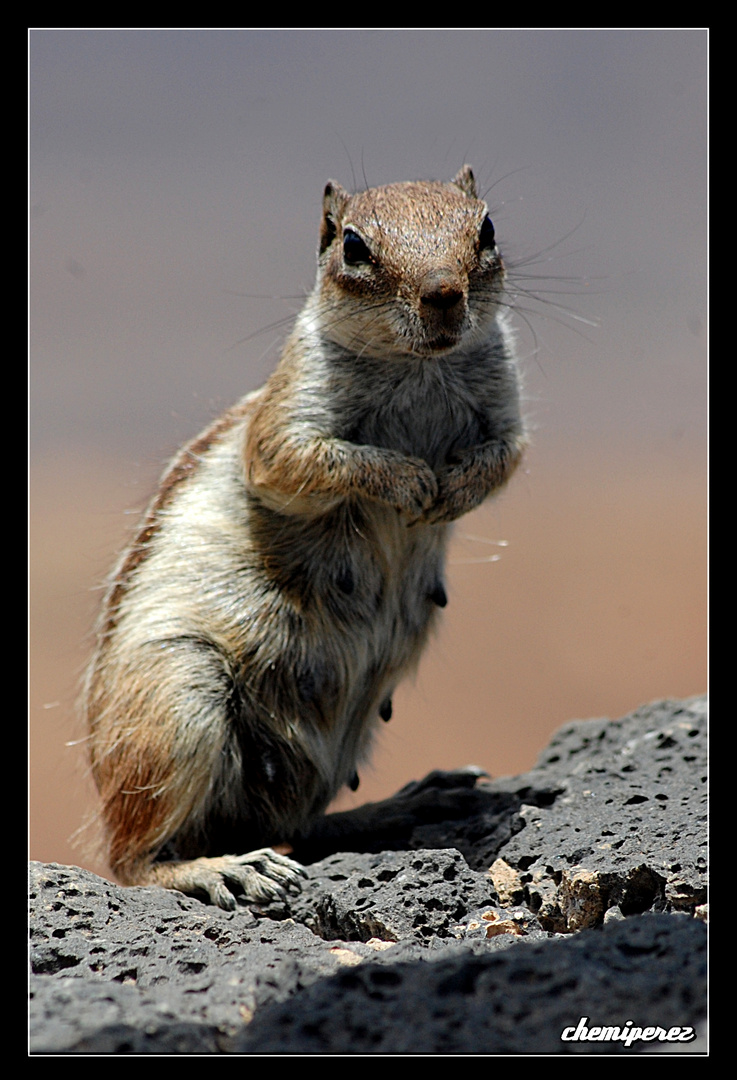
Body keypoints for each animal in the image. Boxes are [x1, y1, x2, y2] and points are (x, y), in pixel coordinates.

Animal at [83, 166, 525, 911]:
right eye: (353, 246)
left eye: (487, 229)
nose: (443, 292)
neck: (419, 366)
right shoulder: (287, 421)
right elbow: (302, 461)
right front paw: (409, 479)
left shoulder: (506, 404)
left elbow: (506, 459)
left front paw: (453, 489)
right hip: (178, 701)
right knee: (134, 858)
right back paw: (223, 868)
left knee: (304, 825)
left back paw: (409, 803)